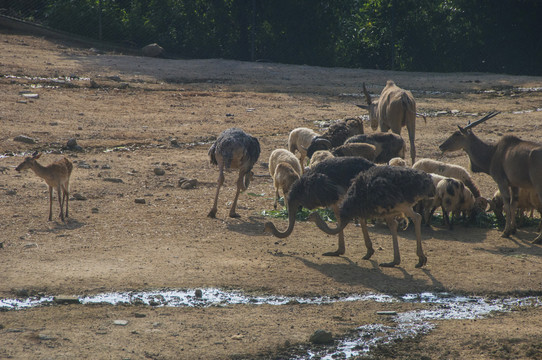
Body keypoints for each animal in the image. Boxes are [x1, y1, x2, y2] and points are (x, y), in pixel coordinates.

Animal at [440, 111, 542, 243]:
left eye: (457, 134)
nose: (441, 146)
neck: (493, 153)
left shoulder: (502, 182)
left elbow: (507, 205)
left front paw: (506, 232)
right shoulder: (514, 185)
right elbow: (513, 204)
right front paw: (513, 229)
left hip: (538, 186)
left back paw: (538, 238)